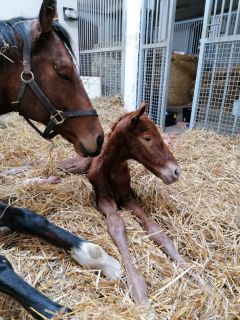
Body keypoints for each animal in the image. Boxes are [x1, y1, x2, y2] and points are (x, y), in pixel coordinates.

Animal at [57, 104, 205, 304]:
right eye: (147, 138)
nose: (176, 172)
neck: (111, 168)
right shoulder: (104, 200)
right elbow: (117, 226)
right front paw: (138, 287)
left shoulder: (129, 198)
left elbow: (155, 230)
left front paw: (197, 276)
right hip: (73, 166)